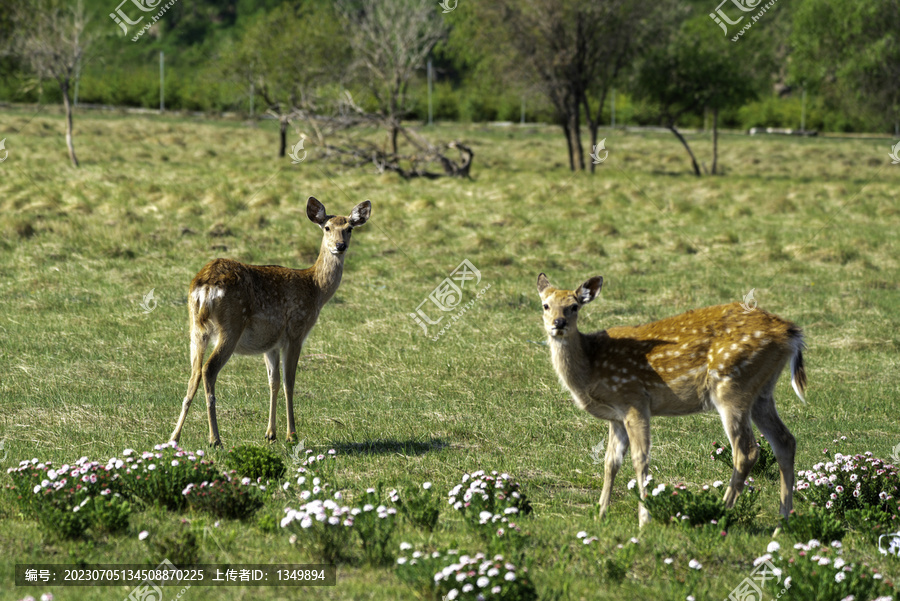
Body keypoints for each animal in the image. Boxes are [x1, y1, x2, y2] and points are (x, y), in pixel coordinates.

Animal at [171, 197, 370, 446]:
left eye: (349, 228)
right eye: (327, 227)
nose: (340, 245)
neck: (315, 288)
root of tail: (204, 286)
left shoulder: (271, 343)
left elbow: (273, 382)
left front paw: (270, 433)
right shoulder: (296, 331)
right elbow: (289, 382)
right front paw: (291, 434)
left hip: (196, 328)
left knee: (193, 374)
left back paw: (174, 436)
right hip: (231, 325)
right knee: (209, 369)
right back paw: (215, 438)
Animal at [536, 272, 804, 524]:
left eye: (574, 306)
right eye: (545, 305)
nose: (558, 323)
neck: (590, 367)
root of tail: (791, 333)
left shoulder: (634, 399)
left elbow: (640, 458)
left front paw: (644, 519)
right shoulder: (616, 416)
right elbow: (610, 462)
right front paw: (600, 515)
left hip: (732, 385)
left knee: (747, 451)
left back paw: (717, 513)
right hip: (761, 392)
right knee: (785, 441)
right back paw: (783, 522)